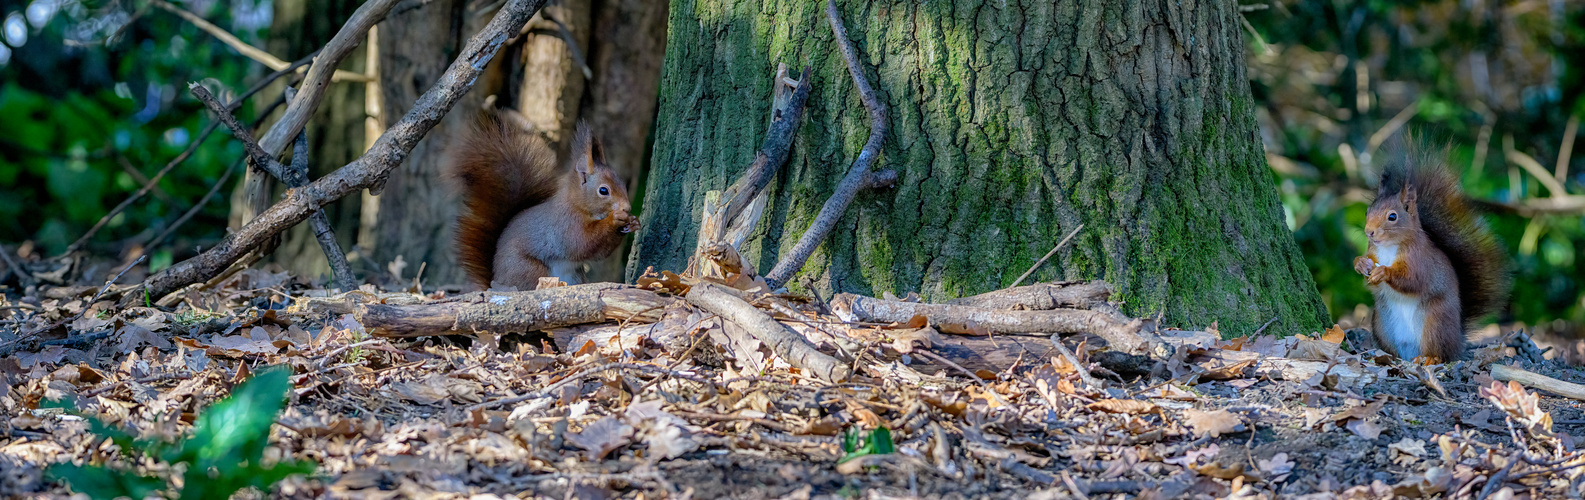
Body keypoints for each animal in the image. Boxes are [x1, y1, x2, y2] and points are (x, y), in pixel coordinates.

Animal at [446, 117, 637, 290]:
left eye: (622, 182)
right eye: (603, 190)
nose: (627, 208)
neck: (577, 205)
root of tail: (496, 283)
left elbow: (600, 252)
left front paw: (633, 222)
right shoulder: (565, 224)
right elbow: (581, 243)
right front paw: (614, 219)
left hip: (574, 276)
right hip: (530, 270)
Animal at [1350, 146, 1508, 361]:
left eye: (1392, 216)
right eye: (1367, 211)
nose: (1369, 232)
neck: (1389, 247)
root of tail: (1457, 341)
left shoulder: (1419, 260)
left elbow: (1413, 280)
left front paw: (1384, 272)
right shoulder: (1373, 251)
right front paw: (1360, 263)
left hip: (1435, 322)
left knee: (1439, 352)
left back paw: (1430, 359)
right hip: (1381, 324)